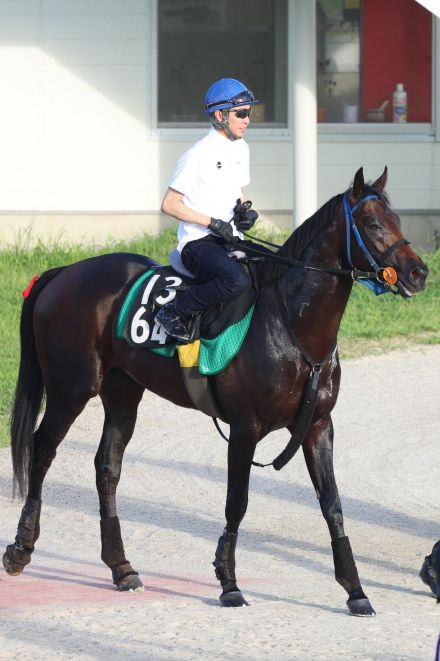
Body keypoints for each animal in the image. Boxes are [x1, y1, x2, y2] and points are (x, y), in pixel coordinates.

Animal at [3, 166, 428, 612]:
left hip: (122, 393)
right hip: (71, 389)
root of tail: (64, 272)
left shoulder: (318, 426)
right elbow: (237, 503)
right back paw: (20, 549)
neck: (290, 325)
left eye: (398, 219)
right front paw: (229, 583)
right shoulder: (245, 428)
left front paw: (355, 590)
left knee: (107, 467)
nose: (418, 273)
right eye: (372, 224)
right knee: (41, 449)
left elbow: (333, 505)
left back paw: (122, 568)